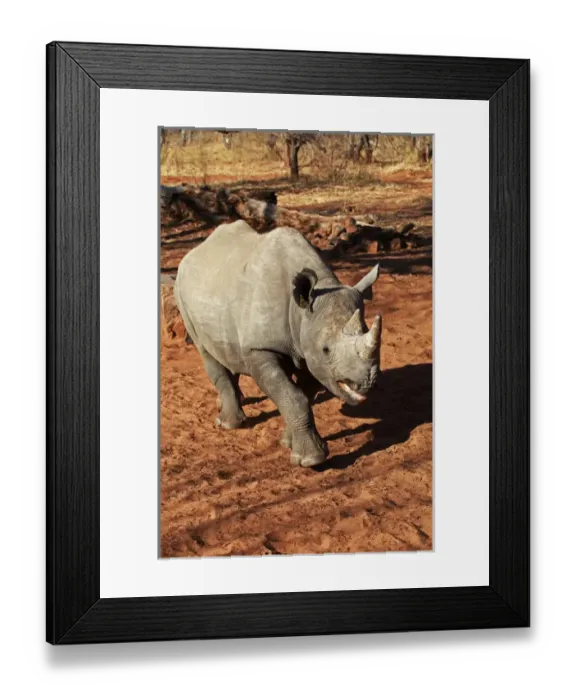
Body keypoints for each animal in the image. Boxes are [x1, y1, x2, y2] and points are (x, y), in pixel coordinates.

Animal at [174, 220, 382, 467]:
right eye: (326, 349)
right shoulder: (260, 348)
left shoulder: (307, 349)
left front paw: (288, 444)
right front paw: (311, 460)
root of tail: (193, 253)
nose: (366, 383)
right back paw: (228, 425)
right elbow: (292, 396)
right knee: (205, 350)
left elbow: (301, 395)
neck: (300, 310)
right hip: (181, 292)